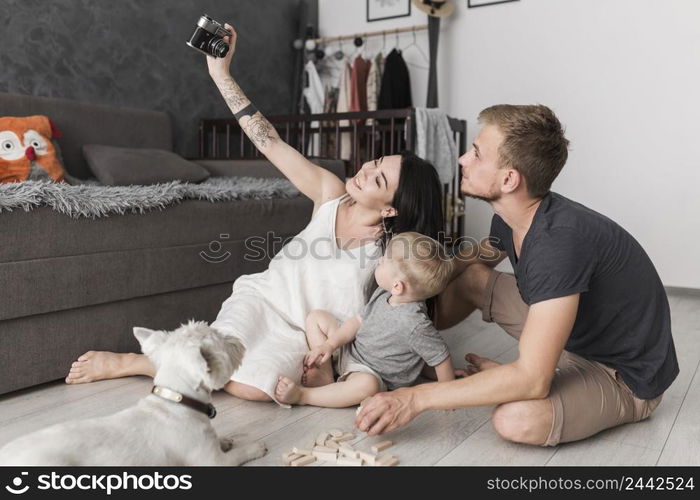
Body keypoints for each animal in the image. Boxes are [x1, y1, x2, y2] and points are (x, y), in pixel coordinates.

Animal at [0, 320, 268, 464]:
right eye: (220, 340)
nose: (238, 340)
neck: (176, 400)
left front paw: (224, 439)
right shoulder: (210, 461)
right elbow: (238, 455)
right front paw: (256, 448)